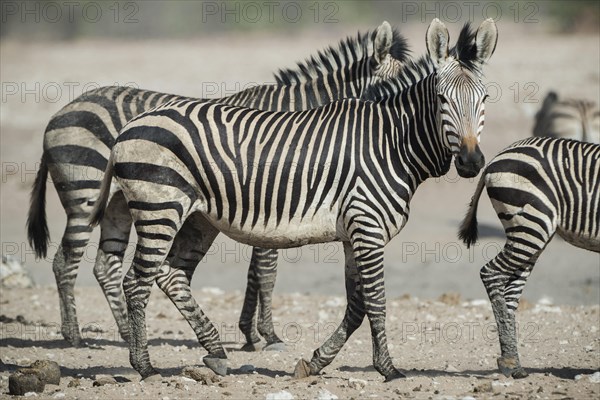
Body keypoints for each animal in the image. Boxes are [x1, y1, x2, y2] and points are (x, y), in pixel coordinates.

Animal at [24, 21, 408, 346]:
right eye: (395, 92)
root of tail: (60, 111)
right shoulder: (270, 196)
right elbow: (266, 271)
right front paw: (269, 336)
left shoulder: (268, 206)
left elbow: (255, 272)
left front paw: (251, 333)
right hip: (85, 193)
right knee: (65, 261)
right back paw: (74, 336)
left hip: (118, 203)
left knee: (105, 265)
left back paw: (126, 333)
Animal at [91, 19, 500, 382]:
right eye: (442, 100)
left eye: (484, 99)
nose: (470, 162)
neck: (390, 142)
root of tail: (129, 127)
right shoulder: (367, 229)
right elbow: (376, 301)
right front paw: (388, 369)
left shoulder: (354, 233)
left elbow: (356, 306)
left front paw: (316, 362)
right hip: (160, 209)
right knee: (136, 282)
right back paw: (145, 367)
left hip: (197, 219)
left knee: (170, 275)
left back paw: (216, 353)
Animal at [460, 138, 600, 378]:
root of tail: (496, 158)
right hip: (532, 224)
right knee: (491, 273)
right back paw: (510, 361)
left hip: (530, 233)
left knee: (509, 292)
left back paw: (512, 362)